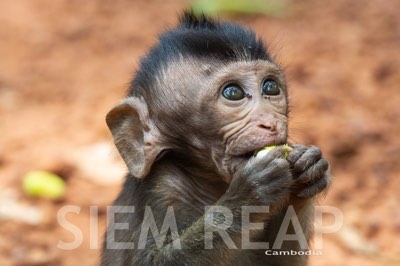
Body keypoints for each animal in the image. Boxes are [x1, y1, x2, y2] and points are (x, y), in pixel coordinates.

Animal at [101, 10, 330, 266]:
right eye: (233, 93)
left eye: (270, 87)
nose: (270, 122)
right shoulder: (161, 188)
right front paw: (247, 196)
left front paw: (309, 167)